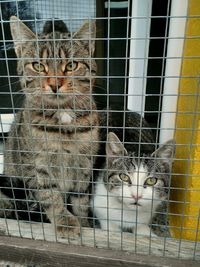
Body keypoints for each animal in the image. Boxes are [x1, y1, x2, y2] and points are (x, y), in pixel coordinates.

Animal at [0, 16, 99, 238]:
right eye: (38, 66)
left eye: (71, 65)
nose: (54, 84)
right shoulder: (37, 165)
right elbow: (50, 195)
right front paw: (65, 221)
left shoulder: (84, 165)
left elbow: (80, 200)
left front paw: (84, 223)